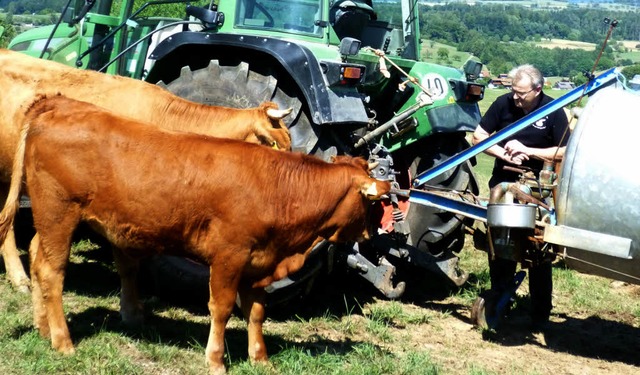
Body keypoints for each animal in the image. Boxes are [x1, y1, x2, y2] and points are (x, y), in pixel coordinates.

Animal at [0, 96, 390, 374]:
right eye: (374, 203)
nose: (372, 234)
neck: (277, 187)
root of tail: (58, 104)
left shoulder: (259, 262)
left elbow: (256, 312)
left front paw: (260, 357)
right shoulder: (229, 256)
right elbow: (221, 309)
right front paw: (216, 359)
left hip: (49, 220)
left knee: (37, 260)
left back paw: (42, 328)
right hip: (58, 213)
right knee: (51, 271)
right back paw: (62, 341)